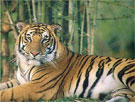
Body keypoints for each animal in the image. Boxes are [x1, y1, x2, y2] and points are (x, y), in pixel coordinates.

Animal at [0, 21, 134, 101]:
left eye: (44, 39)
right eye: (29, 38)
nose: (34, 53)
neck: (26, 64)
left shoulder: (39, 85)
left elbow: (10, 92)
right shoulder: (19, 80)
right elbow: (5, 85)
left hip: (125, 71)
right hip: (122, 93)